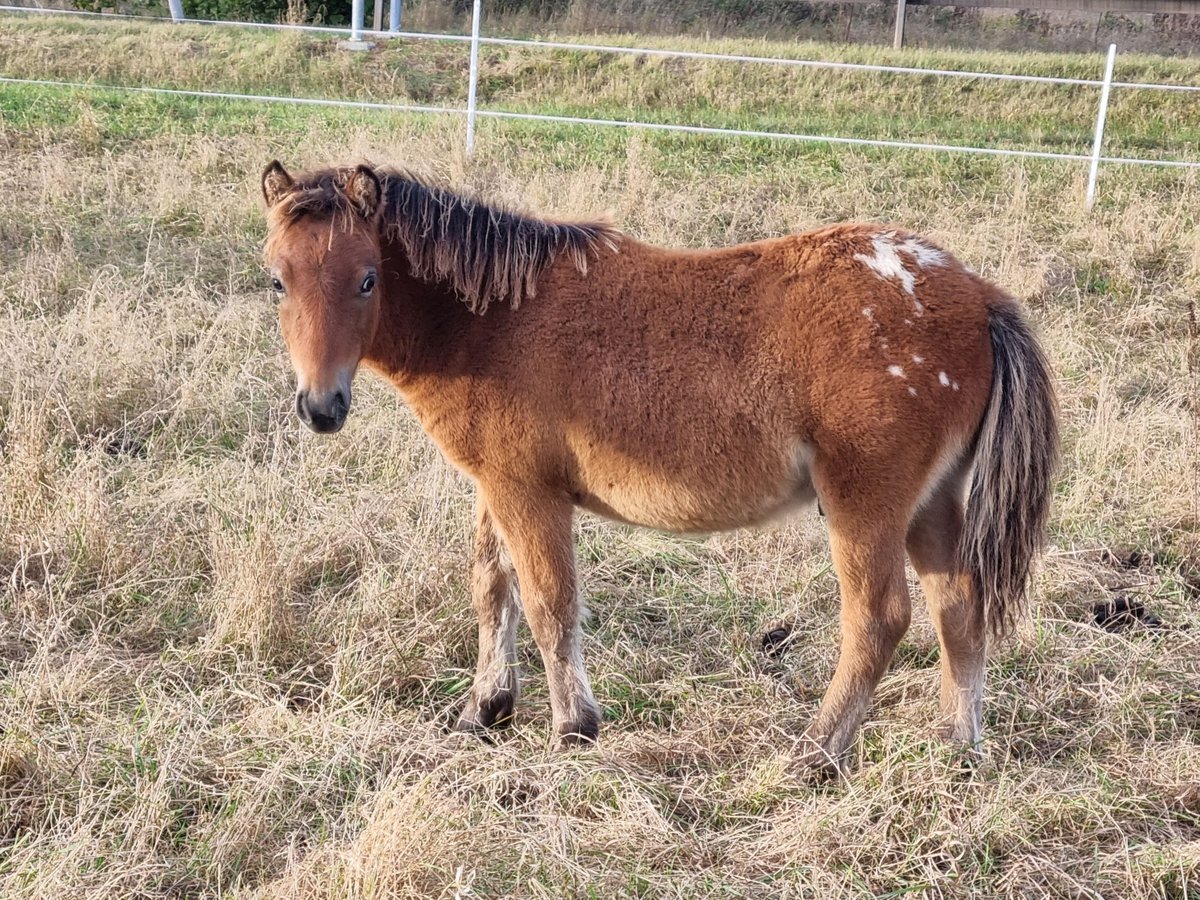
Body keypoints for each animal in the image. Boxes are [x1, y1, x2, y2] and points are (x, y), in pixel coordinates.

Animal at [258, 158, 1056, 772]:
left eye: (367, 279)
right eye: (277, 281)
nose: (321, 407)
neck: (490, 322)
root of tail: (978, 295)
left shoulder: (528, 493)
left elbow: (549, 603)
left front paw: (572, 727)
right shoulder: (495, 486)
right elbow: (493, 587)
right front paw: (485, 708)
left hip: (867, 504)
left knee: (878, 619)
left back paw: (814, 754)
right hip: (932, 504)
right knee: (959, 606)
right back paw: (956, 745)